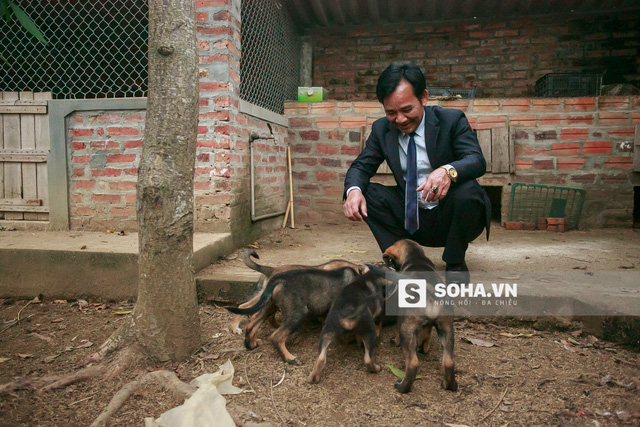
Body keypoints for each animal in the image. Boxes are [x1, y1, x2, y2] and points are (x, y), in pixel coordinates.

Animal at [226, 268, 360, 364]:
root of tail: (277, 279)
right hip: (298, 313)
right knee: (276, 337)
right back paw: (290, 359)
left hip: (269, 307)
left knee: (251, 326)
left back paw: (250, 345)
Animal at [382, 239, 458, 392]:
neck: (415, 257)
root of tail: (432, 298)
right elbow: (426, 334)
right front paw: (424, 347)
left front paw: (395, 341)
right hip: (447, 329)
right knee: (448, 362)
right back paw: (450, 385)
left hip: (407, 330)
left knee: (412, 363)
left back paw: (402, 387)